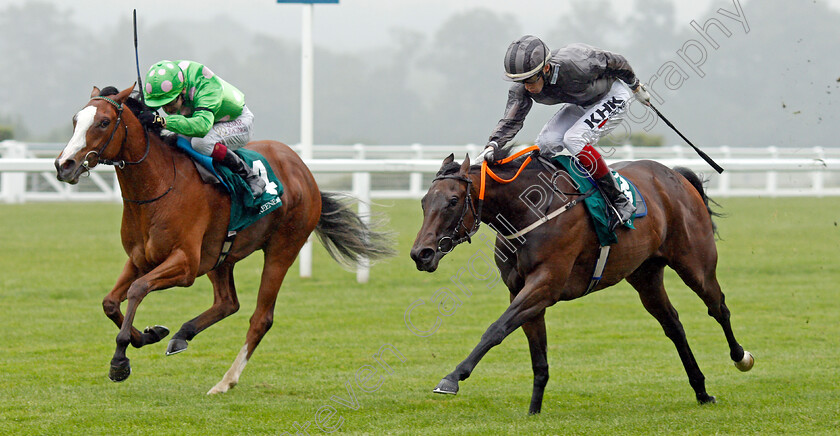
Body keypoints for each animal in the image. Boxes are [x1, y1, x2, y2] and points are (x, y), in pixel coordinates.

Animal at [57, 83, 392, 394]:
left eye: (103, 122)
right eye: (75, 120)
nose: (64, 165)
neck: (158, 186)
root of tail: (304, 171)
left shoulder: (185, 265)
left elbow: (138, 289)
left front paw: (120, 360)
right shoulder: (140, 259)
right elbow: (110, 302)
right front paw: (151, 334)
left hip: (283, 248)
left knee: (261, 318)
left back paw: (225, 381)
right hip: (220, 257)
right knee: (228, 302)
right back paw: (182, 335)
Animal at [412, 151, 756, 416]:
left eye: (453, 200)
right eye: (424, 201)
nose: (421, 253)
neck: (529, 210)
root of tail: (675, 175)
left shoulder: (546, 284)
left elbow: (496, 329)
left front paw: (452, 378)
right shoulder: (521, 290)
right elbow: (538, 356)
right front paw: (534, 410)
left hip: (695, 263)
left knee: (718, 307)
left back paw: (741, 357)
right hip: (645, 275)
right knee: (673, 324)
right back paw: (701, 391)